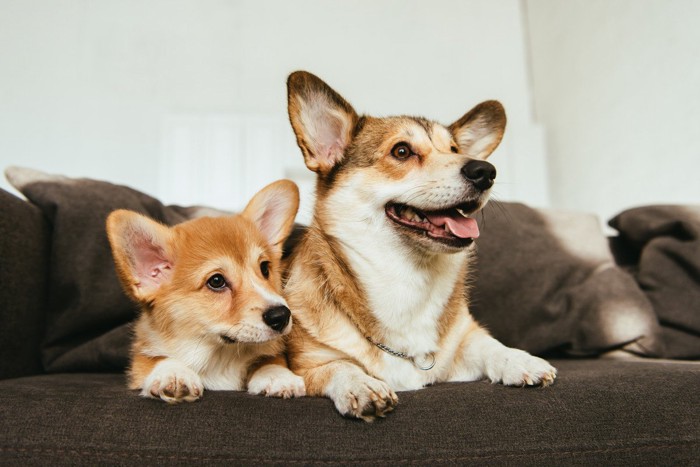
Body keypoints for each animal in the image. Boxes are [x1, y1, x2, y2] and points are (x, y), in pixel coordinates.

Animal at [107, 181, 306, 404]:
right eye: (216, 281)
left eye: (265, 268)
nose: (281, 316)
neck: (220, 356)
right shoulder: (142, 357)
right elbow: (157, 359)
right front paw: (174, 374)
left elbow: (269, 360)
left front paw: (278, 376)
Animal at [284, 71, 556, 422]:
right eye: (402, 151)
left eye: (454, 149)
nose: (485, 171)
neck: (408, 278)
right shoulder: (306, 366)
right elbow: (339, 366)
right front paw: (362, 385)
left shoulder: (465, 340)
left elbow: (489, 345)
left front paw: (519, 359)